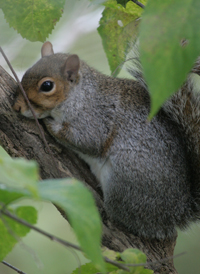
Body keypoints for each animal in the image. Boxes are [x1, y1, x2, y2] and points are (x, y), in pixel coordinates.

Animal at [12, 41, 200, 240]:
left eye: (47, 86)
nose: (17, 106)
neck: (79, 95)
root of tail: (178, 211)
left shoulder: (95, 119)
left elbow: (87, 140)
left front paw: (50, 124)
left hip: (125, 178)